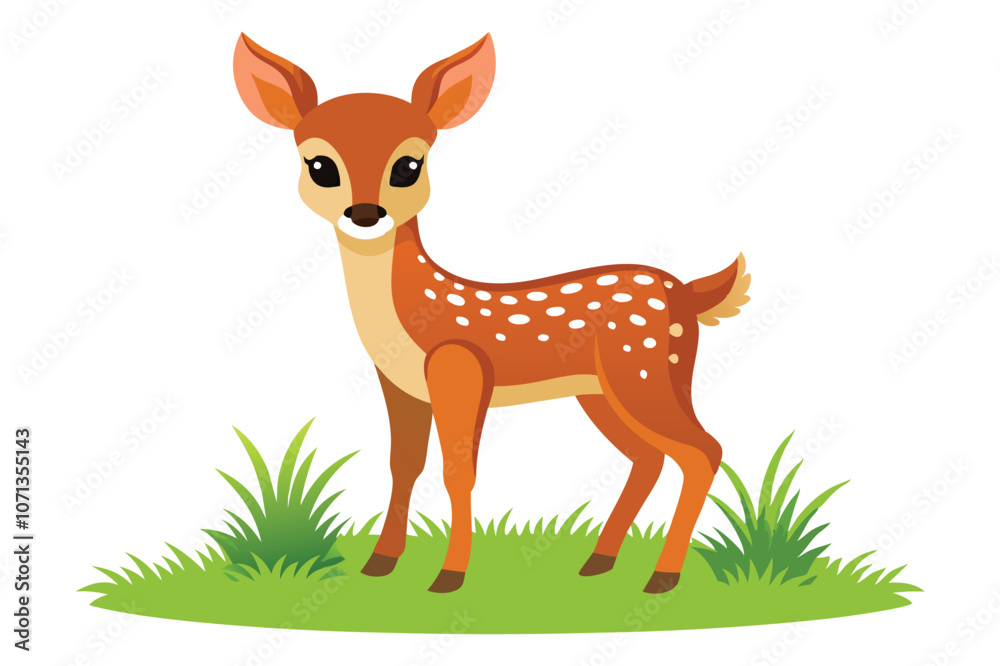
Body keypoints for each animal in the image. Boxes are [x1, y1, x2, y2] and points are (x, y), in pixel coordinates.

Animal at [232, 32, 750, 594]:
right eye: (320, 166)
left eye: (408, 165)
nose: (366, 214)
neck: (408, 317)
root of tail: (688, 294)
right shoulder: (398, 384)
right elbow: (403, 464)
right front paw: (381, 563)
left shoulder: (460, 367)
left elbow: (458, 472)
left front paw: (449, 574)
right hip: (602, 390)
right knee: (649, 457)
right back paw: (599, 561)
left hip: (645, 368)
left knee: (703, 451)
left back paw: (662, 575)